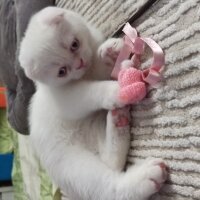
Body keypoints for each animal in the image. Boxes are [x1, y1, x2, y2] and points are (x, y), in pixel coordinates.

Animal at [18, 6, 166, 200]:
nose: (79, 63)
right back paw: (145, 177)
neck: (86, 74)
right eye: (62, 71)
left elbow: (100, 62)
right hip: (75, 166)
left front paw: (109, 52)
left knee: (112, 163)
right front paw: (116, 91)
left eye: (74, 44)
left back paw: (118, 122)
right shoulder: (67, 99)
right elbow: (90, 91)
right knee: (109, 188)